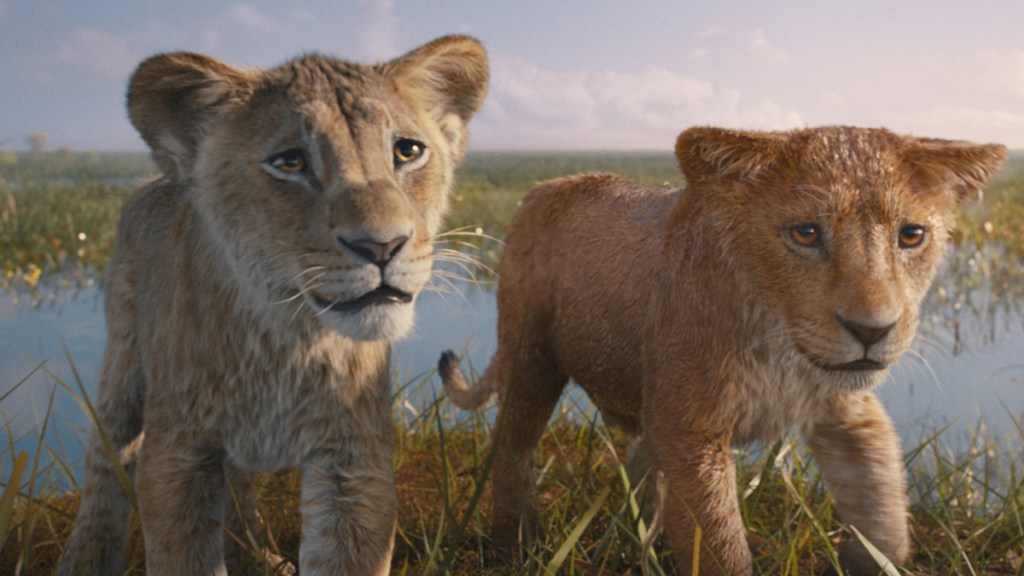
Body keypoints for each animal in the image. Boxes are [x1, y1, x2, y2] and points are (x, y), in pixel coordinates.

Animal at [57, 36, 488, 576]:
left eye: (407, 151)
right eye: (290, 162)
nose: (383, 247)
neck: (286, 337)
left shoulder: (352, 461)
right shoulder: (178, 455)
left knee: (237, 483)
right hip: (123, 359)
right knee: (105, 455)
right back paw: (85, 558)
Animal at [439, 126, 1006, 575]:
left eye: (911, 236)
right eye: (805, 233)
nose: (872, 330)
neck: (780, 346)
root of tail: (543, 186)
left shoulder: (846, 410)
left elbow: (882, 501)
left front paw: (866, 559)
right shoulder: (693, 430)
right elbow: (720, 544)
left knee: (641, 463)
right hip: (530, 356)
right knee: (513, 448)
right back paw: (514, 546)